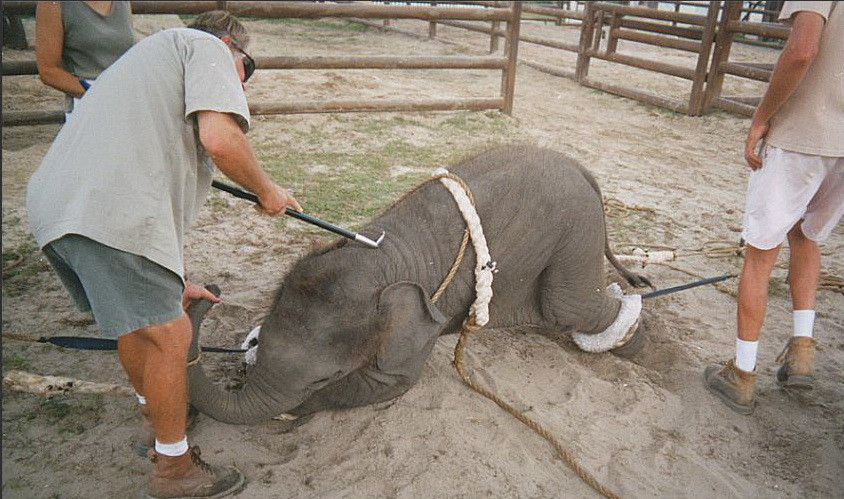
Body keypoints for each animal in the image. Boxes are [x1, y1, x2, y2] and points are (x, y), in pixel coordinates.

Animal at [186, 145, 652, 425]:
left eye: (325, 378)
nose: (211, 290)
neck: (383, 257)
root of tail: (581, 168)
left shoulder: (423, 322)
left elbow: (390, 383)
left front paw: (295, 412)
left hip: (574, 229)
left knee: (570, 305)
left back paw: (639, 344)